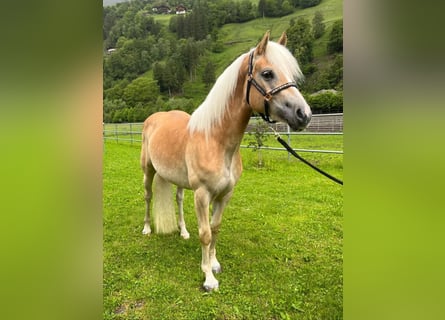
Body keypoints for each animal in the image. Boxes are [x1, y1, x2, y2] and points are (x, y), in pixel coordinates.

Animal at [140, 30, 310, 292]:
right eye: (267, 73)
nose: (304, 114)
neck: (215, 140)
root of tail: (155, 118)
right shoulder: (202, 195)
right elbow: (205, 233)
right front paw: (209, 279)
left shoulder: (225, 195)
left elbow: (215, 228)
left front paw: (213, 264)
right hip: (148, 171)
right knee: (148, 196)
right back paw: (147, 228)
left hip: (178, 181)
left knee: (178, 200)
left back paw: (183, 232)